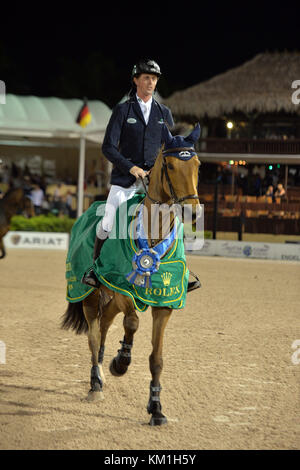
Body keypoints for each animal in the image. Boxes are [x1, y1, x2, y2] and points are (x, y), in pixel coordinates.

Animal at [61, 129, 202, 426]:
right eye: (171, 166)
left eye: (197, 165)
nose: (193, 213)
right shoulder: (122, 289)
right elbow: (133, 323)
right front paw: (122, 362)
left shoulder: (165, 304)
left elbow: (157, 358)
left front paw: (156, 408)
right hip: (89, 294)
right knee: (94, 335)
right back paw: (96, 383)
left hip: (109, 299)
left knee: (104, 325)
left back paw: (102, 368)